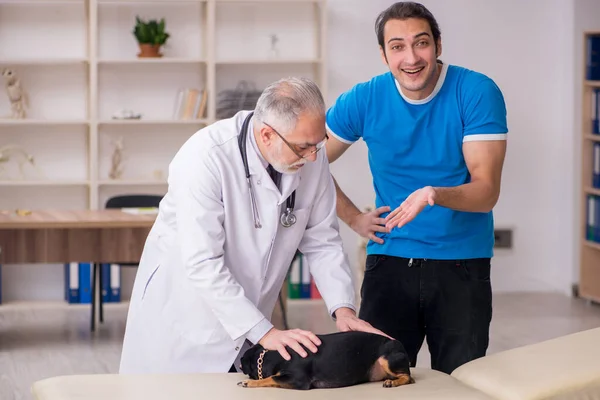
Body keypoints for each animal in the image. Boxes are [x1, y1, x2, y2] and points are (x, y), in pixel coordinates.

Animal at [237, 332, 414, 390]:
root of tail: (400, 346)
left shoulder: (298, 380)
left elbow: (272, 378)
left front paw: (249, 383)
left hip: (386, 359)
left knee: (408, 377)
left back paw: (392, 382)